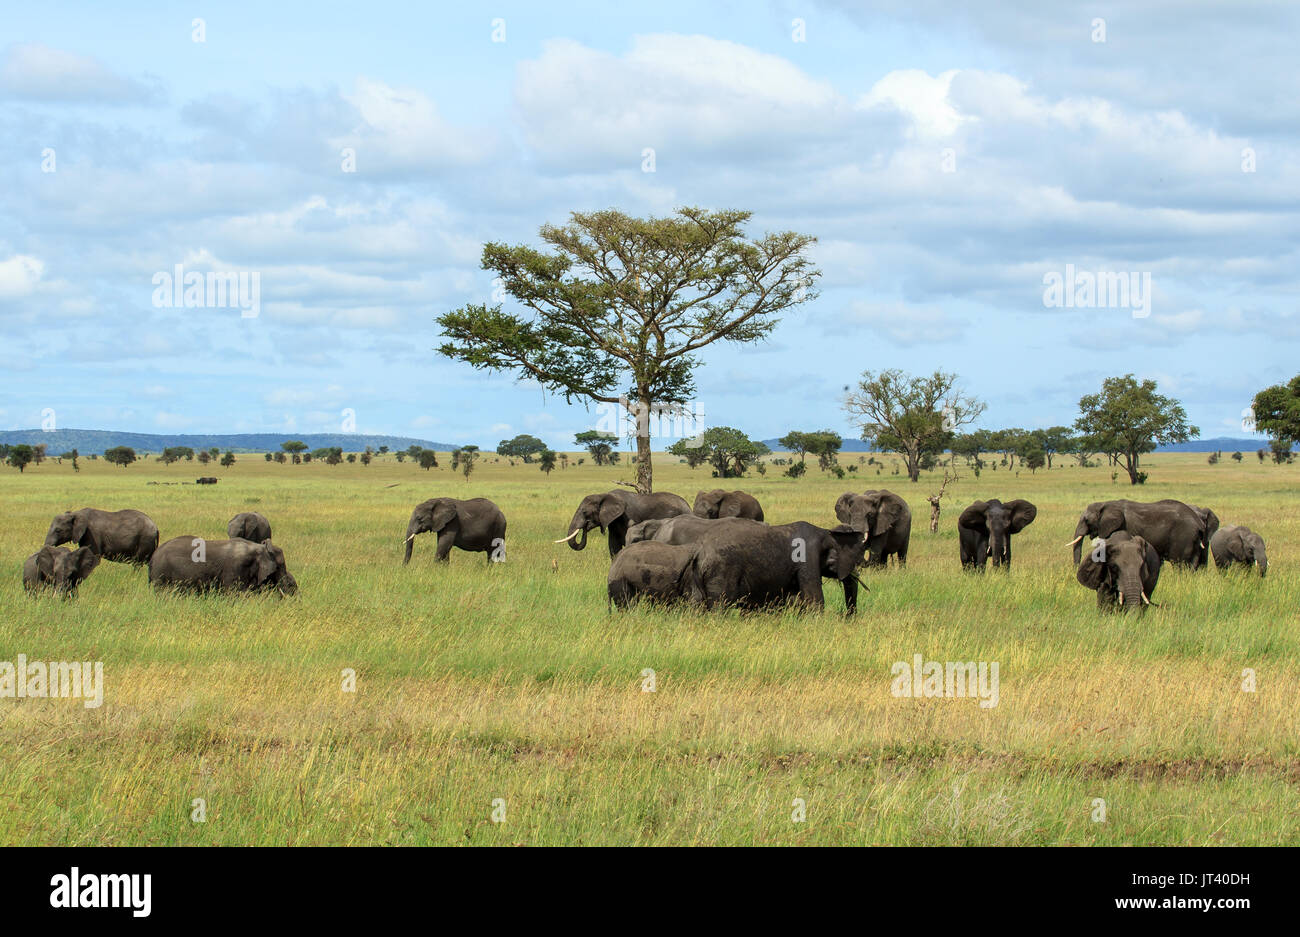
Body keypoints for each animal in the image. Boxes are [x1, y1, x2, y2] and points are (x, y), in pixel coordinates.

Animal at [556, 488, 691, 556]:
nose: (585, 526)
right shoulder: (612, 521)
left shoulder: (628, 515)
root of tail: (688, 507)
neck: (603, 495)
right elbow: (613, 545)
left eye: (584, 512)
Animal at [686, 519, 868, 613]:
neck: (826, 533)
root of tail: (700, 550)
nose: (847, 618)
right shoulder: (808, 558)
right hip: (721, 572)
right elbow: (814, 600)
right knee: (719, 606)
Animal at [1066, 501, 1206, 566]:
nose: (1075, 569)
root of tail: (1199, 523)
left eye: (1086, 520)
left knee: (1179, 563)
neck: (1106, 503)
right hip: (1194, 539)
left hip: (1183, 536)